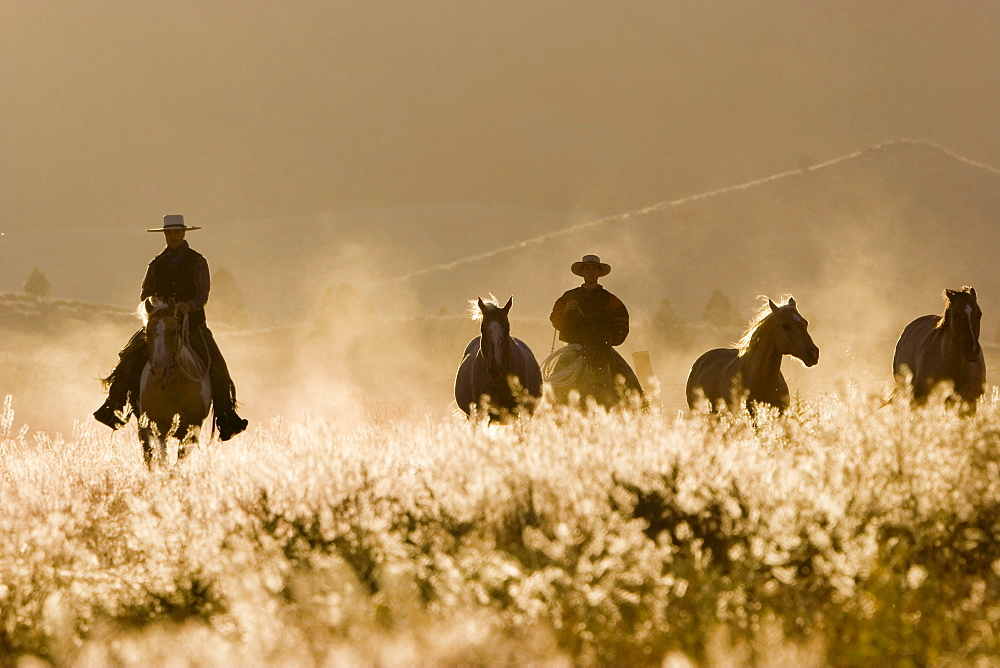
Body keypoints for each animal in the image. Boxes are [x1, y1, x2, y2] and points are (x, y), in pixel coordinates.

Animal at [138, 298, 212, 464]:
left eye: (174, 331)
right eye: (147, 332)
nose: (160, 371)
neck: (173, 388)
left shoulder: (191, 431)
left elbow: (177, 464)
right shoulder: (158, 427)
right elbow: (164, 460)